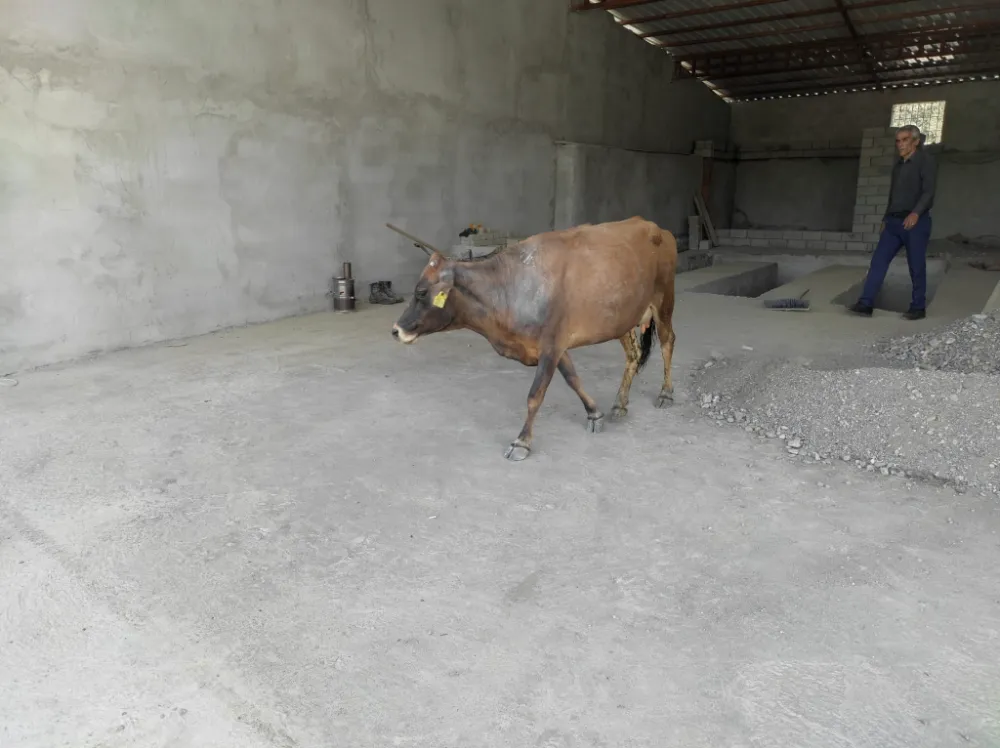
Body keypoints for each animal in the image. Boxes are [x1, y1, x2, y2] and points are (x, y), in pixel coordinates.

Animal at [391, 216, 677, 461]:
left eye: (421, 292)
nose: (396, 329)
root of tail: (655, 227)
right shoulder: (554, 346)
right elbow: (573, 379)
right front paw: (595, 414)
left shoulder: (551, 345)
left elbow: (534, 395)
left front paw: (521, 442)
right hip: (624, 319)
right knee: (633, 355)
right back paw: (620, 403)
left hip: (663, 303)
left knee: (667, 342)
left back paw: (666, 394)